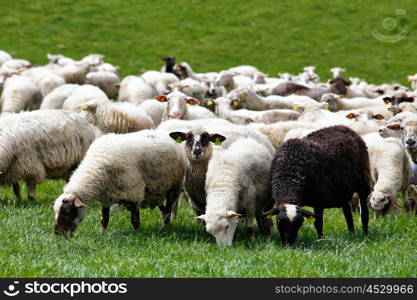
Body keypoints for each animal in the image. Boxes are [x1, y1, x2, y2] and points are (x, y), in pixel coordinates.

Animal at [52, 130, 186, 236]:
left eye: (67, 212)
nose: (57, 233)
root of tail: (168, 137)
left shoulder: (133, 193)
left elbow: (135, 219)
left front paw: (138, 234)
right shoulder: (106, 197)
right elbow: (104, 218)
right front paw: (102, 233)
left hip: (173, 187)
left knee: (168, 210)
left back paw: (164, 228)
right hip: (155, 193)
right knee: (164, 210)